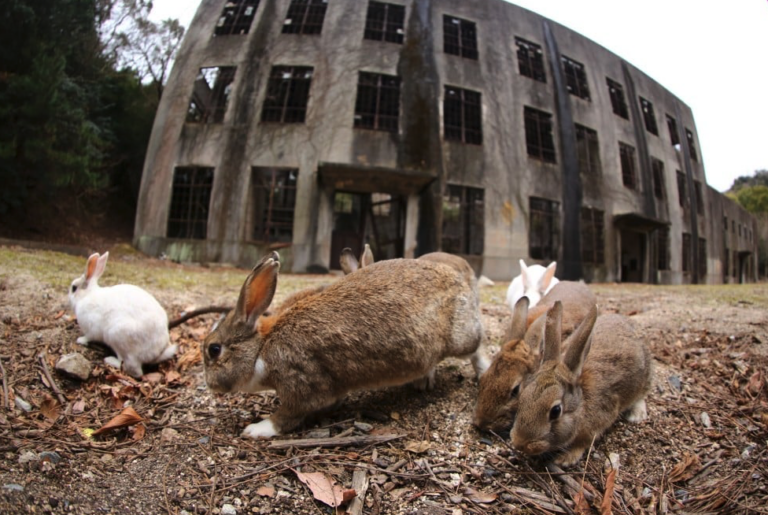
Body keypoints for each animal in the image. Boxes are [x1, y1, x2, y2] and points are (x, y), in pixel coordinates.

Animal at [202, 251, 486, 439]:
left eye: (214, 350)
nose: (210, 385)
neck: (261, 348)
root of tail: (458, 278)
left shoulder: (299, 383)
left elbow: (287, 416)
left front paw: (256, 429)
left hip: (460, 339)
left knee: (475, 347)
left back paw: (482, 372)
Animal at [510, 301, 652, 466]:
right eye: (522, 398)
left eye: (556, 411)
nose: (520, 443)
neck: (582, 402)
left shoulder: (598, 423)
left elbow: (584, 443)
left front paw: (566, 459)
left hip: (644, 378)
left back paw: (637, 415)